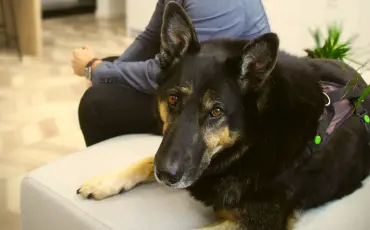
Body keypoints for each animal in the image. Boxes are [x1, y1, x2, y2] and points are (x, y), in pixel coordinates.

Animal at [75, 2, 370, 230]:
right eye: (173, 100)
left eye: (216, 111)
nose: (167, 175)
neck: (256, 139)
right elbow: (147, 159)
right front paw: (105, 181)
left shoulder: (257, 224)